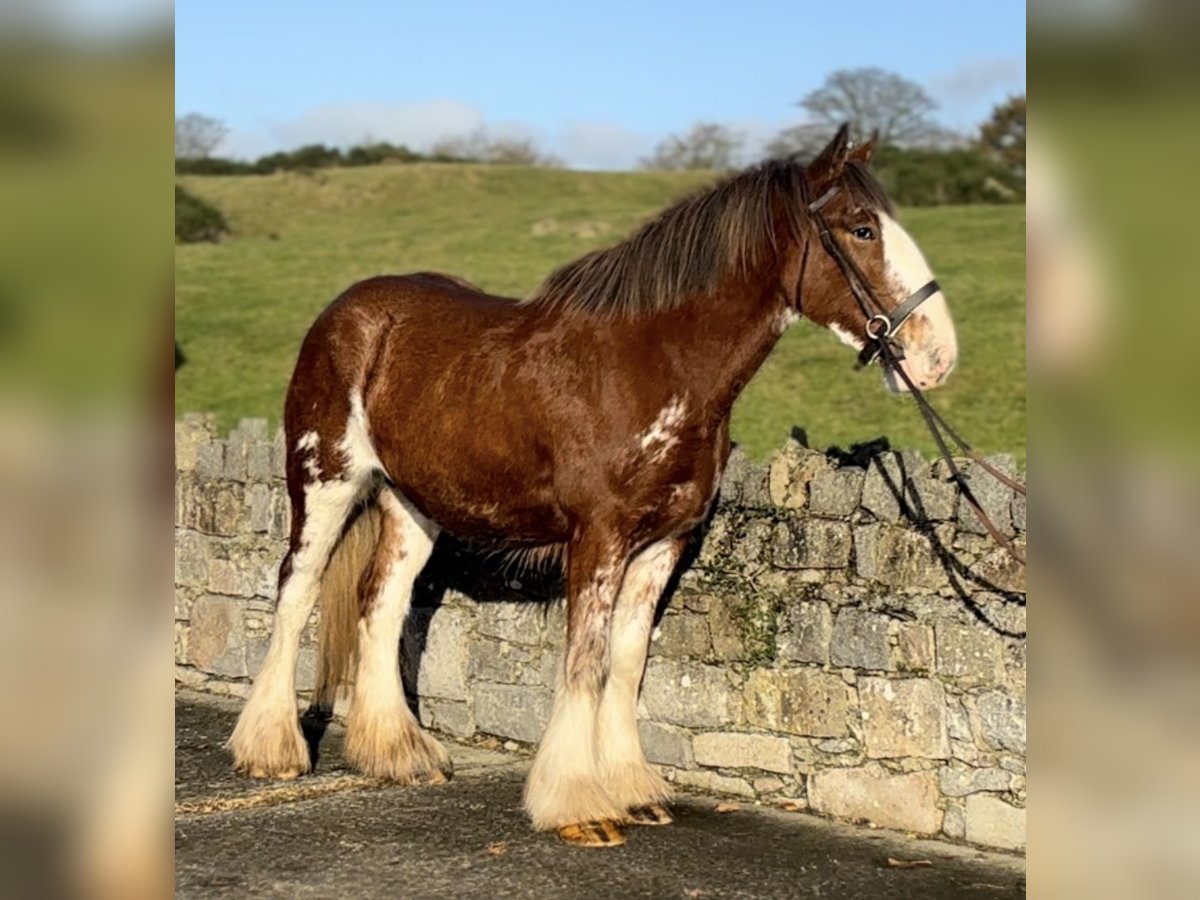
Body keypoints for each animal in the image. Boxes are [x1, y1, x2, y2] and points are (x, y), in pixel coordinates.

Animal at [225, 125, 955, 844]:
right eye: (862, 229)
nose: (937, 355)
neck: (653, 364)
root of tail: (349, 314)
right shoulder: (598, 537)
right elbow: (584, 659)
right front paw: (578, 804)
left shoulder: (662, 544)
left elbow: (624, 664)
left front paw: (632, 789)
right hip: (325, 481)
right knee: (296, 591)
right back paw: (271, 751)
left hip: (412, 504)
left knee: (381, 600)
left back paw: (399, 755)